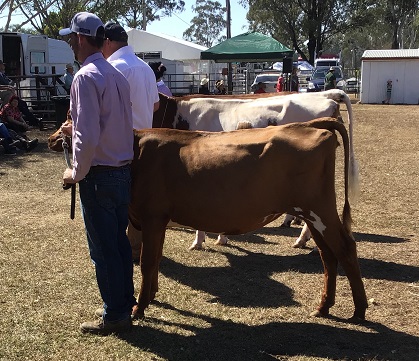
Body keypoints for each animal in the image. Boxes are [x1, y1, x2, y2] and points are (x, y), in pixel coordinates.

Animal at [130, 117, 370, 318]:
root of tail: (307, 124)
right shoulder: (158, 221)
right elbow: (157, 258)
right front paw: (151, 296)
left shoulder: (152, 217)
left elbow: (147, 261)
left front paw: (139, 307)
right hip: (311, 215)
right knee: (328, 255)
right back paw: (323, 307)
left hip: (319, 209)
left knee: (345, 249)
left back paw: (359, 310)